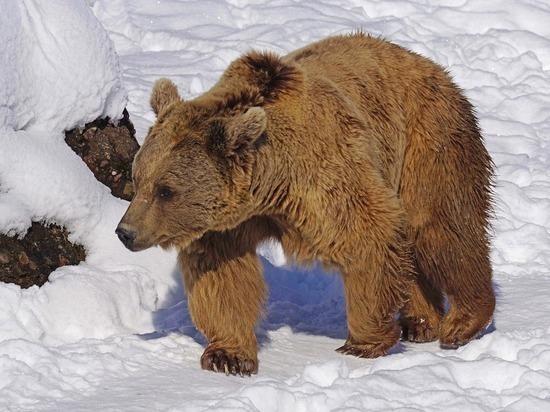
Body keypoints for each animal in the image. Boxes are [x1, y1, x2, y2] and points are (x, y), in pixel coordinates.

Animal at [115, 33, 496, 376]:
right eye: (138, 178)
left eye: (166, 191)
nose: (125, 232)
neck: (268, 184)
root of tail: (426, 63)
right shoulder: (228, 222)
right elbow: (223, 275)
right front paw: (228, 356)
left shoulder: (324, 175)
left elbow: (369, 234)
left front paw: (362, 341)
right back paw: (419, 321)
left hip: (426, 141)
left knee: (441, 229)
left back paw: (463, 321)